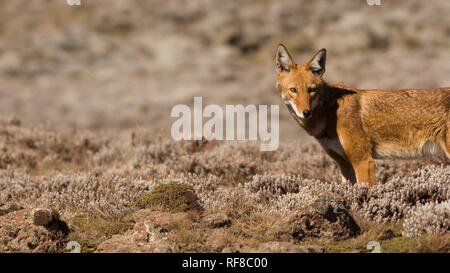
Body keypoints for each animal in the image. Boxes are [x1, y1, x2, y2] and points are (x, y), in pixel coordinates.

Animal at [274, 44, 450, 185]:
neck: (331, 113)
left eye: (311, 90)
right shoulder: (344, 165)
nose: (306, 112)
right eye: (293, 90)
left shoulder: (364, 161)